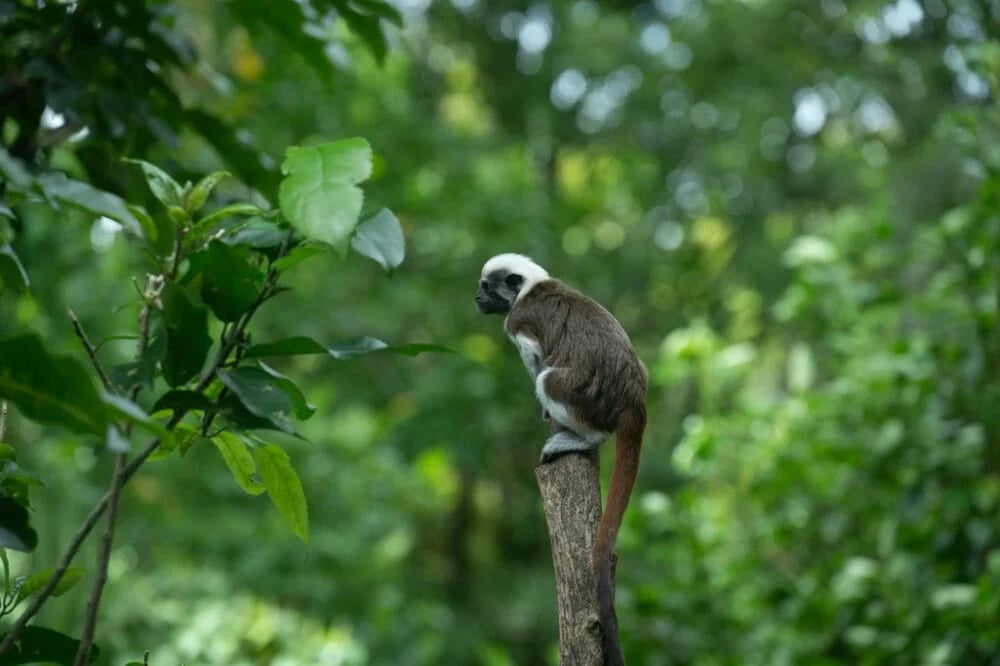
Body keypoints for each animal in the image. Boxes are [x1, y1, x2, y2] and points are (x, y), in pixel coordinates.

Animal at [475, 252, 647, 666]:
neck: (531, 288)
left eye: (488, 288)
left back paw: (581, 438)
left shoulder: (518, 323)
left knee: (549, 379)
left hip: (586, 396)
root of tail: (635, 401)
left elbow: (534, 357)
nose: (477, 299)